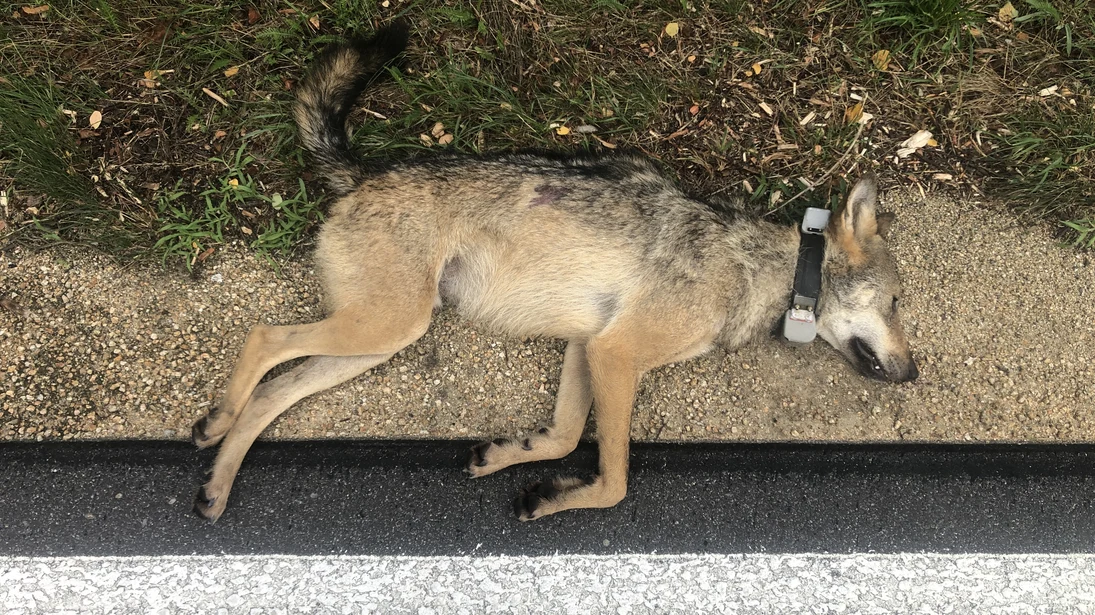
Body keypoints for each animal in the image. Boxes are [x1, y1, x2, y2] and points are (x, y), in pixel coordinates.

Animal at [191, 24, 918, 523]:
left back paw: (217, 482)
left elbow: (565, 434)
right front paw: (550, 496)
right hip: (384, 326)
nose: (913, 373)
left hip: (378, 339)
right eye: (894, 303)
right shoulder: (616, 352)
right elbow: (615, 479)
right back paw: (213, 422)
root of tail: (363, 173)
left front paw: (510, 456)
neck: (759, 266)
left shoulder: (586, 344)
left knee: (273, 392)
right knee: (264, 338)